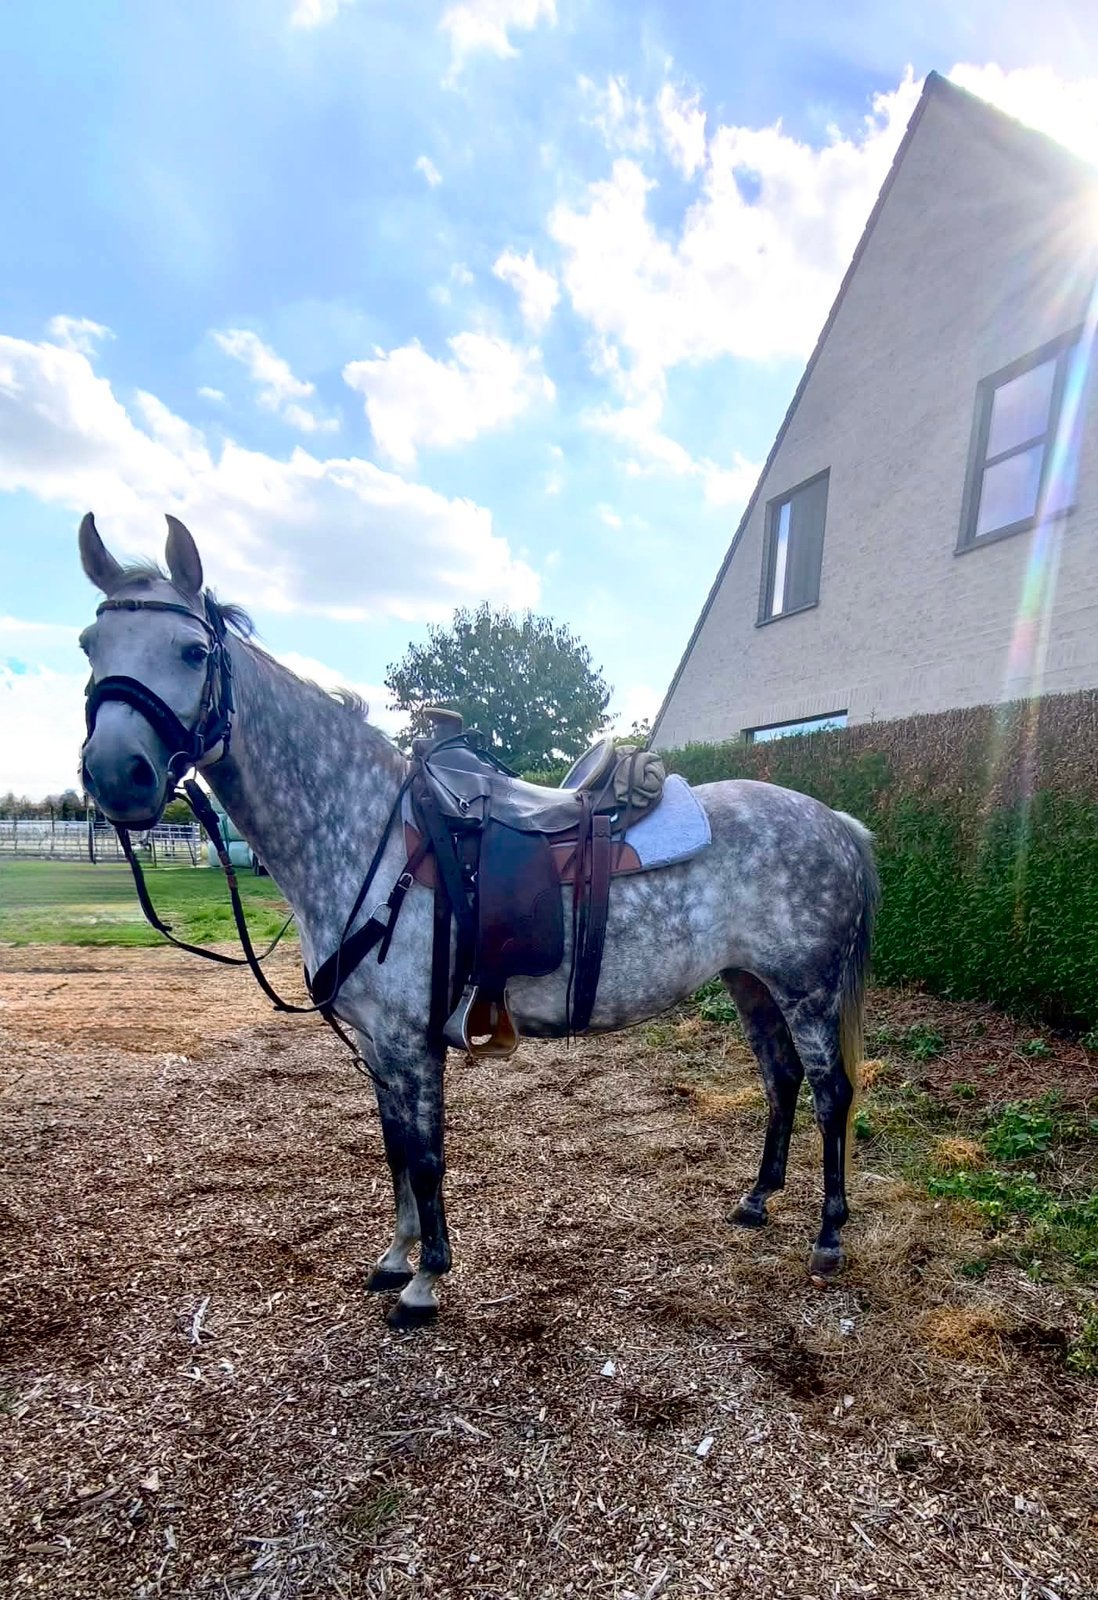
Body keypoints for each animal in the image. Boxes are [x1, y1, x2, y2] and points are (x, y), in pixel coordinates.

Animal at [77, 513, 879, 1330]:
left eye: (193, 651)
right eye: (88, 645)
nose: (116, 775)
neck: (367, 832)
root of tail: (839, 824)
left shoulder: (410, 1040)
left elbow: (427, 1154)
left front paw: (425, 1281)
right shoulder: (379, 1044)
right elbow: (395, 1147)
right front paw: (395, 1257)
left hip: (808, 991)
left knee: (831, 1095)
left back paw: (828, 1238)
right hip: (751, 983)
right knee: (782, 1080)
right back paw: (756, 1201)